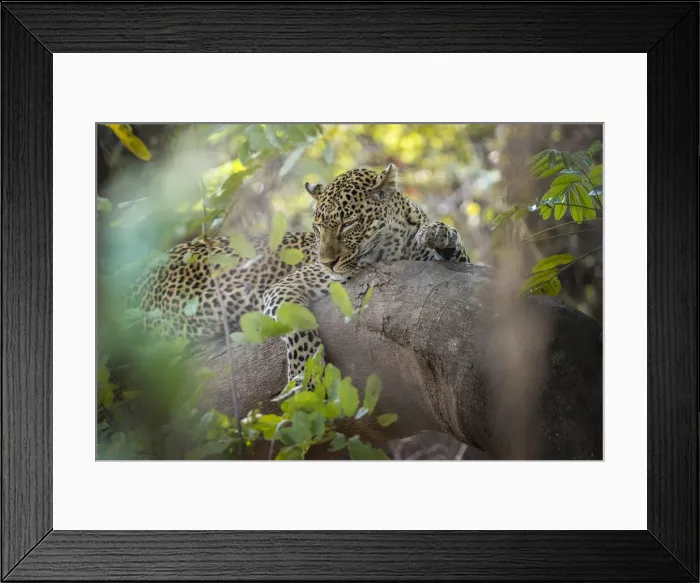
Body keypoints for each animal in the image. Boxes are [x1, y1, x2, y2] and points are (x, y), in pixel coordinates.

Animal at [129, 163, 471, 399]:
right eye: (318, 228)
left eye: (348, 224)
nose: (327, 262)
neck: (393, 247)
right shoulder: (282, 289)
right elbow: (297, 327)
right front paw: (306, 377)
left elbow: (457, 253)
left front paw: (437, 232)